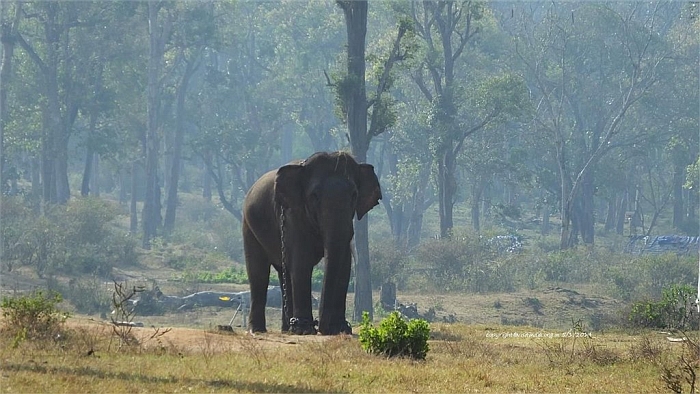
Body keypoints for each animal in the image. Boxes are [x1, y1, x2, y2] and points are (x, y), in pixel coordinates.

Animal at [242, 151, 382, 336]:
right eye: (314, 196)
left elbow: (344, 266)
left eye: (354, 195)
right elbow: (301, 263)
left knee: (284, 272)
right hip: (248, 225)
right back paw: (258, 330)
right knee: (259, 272)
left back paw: (287, 329)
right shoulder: (293, 214)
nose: (321, 326)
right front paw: (304, 330)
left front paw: (340, 329)